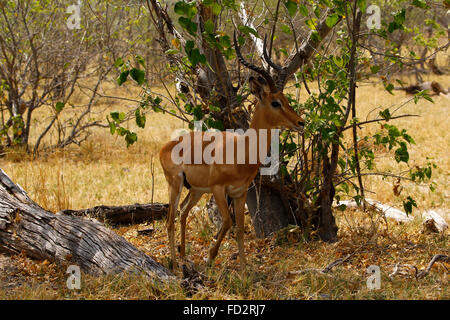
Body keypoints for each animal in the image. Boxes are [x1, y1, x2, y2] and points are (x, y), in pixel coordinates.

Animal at [159, 33, 306, 272]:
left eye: (285, 99)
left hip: (197, 190)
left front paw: (245, 271)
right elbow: (228, 222)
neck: (242, 151)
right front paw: (210, 258)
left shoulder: (240, 193)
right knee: (170, 218)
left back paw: (182, 256)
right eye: (275, 102)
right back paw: (173, 263)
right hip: (176, 184)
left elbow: (239, 228)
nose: (300, 123)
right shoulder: (219, 189)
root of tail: (165, 146)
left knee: (182, 212)